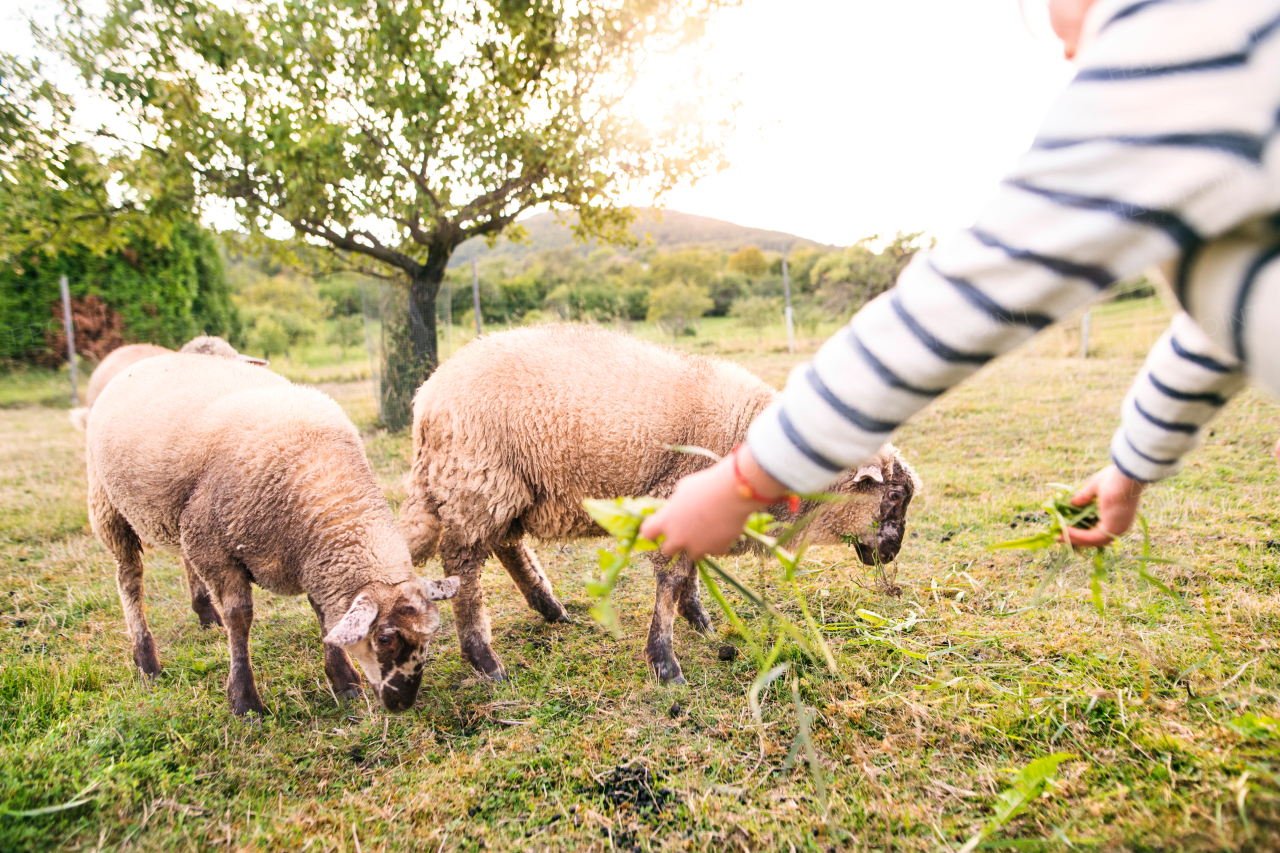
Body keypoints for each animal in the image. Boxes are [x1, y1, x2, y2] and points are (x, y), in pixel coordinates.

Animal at [85, 350, 458, 712]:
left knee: (181, 559)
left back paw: (205, 615)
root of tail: (147, 358)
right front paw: (244, 700)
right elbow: (239, 618)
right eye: (384, 638)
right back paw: (146, 660)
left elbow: (323, 615)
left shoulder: (305, 559)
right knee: (129, 579)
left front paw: (343, 680)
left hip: (183, 518)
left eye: (430, 635)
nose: (402, 702)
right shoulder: (215, 551)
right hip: (108, 506)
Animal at [401, 322, 921, 681]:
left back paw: (549, 608)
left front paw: (700, 622)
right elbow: (671, 578)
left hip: (504, 486)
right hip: (478, 479)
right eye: (894, 494)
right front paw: (665, 661)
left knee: (506, 545)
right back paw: (484, 659)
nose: (893, 551)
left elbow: (689, 571)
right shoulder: (677, 497)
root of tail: (428, 394)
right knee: (464, 565)